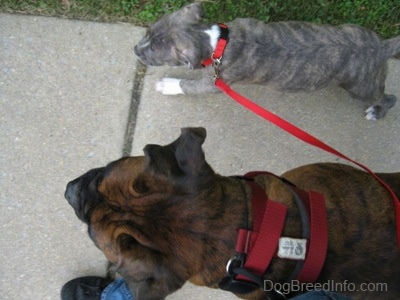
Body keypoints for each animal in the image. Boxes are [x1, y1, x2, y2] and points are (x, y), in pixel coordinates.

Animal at [134, 2, 400, 120]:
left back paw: (377, 111)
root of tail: (383, 46)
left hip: (361, 87)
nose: (135, 49)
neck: (217, 40)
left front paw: (168, 84)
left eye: (154, 54)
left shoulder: (216, 83)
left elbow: (189, 85)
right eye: (148, 32)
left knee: (387, 97)